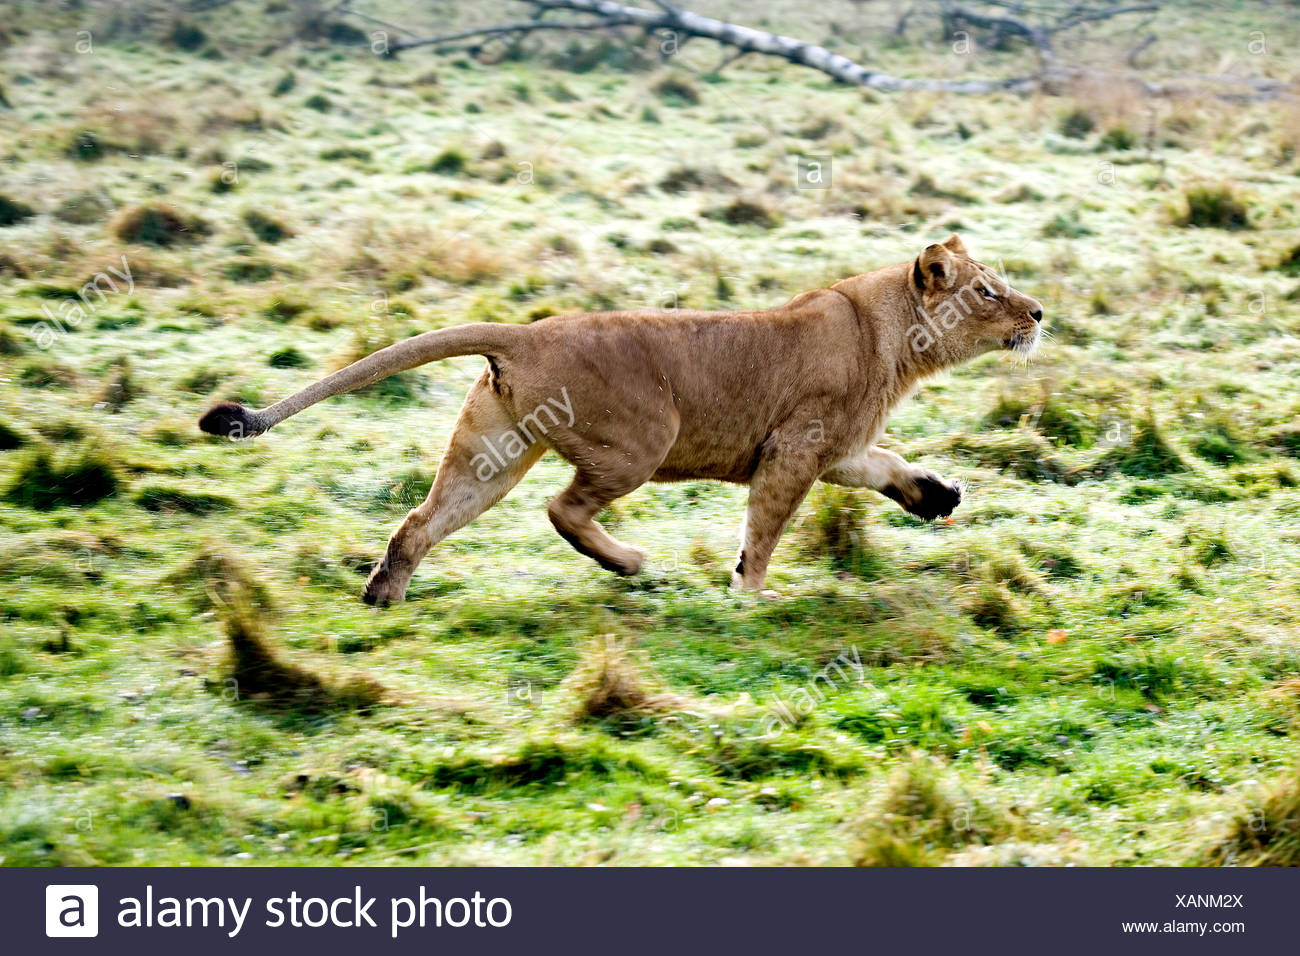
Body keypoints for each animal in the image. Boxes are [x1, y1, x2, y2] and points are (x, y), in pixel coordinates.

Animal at [199, 234, 1043, 605]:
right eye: (988, 290)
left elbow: (887, 467)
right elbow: (766, 528)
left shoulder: (835, 449)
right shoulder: (794, 449)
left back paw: (382, 596)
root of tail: (528, 332)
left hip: (489, 455)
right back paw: (633, 564)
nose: (1037, 312)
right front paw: (750, 597)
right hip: (642, 441)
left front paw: (938, 496)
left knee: (420, 520)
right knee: (562, 507)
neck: (891, 336)